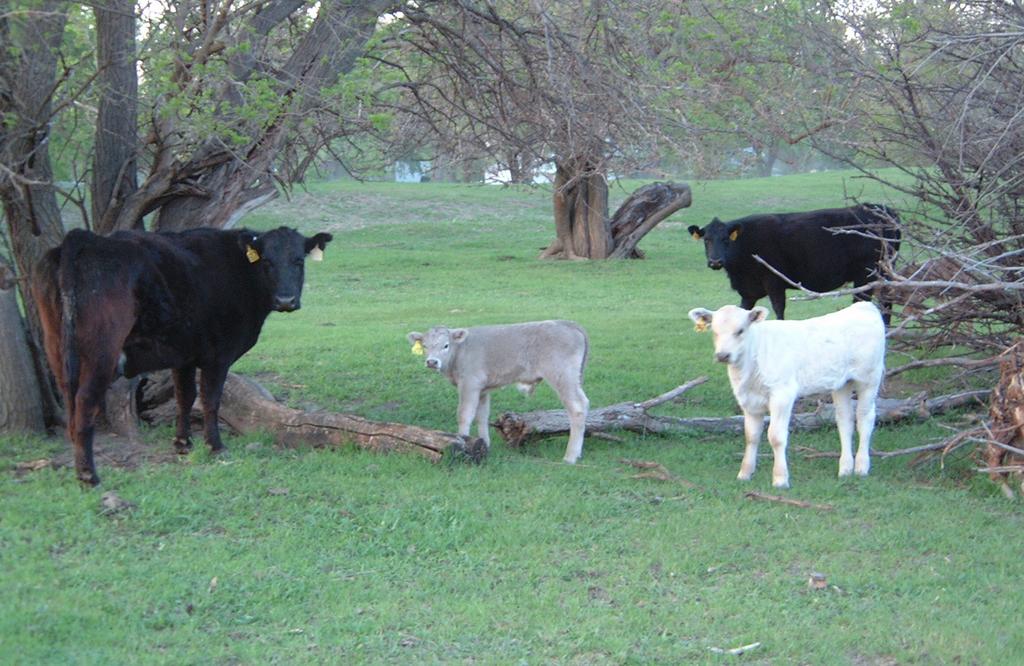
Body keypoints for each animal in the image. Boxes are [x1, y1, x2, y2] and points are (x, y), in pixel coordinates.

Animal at [32, 226, 332, 486]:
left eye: (298, 261)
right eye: (267, 262)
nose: (286, 300)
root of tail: (86, 238)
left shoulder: (184, 355)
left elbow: (184, 397)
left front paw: (183, 444)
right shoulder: (218, 355)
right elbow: (210, 399)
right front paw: (215, 446)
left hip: (57, 349)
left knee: (70, 400)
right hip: (101, 352)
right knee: (85, 402)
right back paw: (88, 475)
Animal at [406, 320, 590, 463]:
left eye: (446, 345)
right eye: (425, 346)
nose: (432, 362)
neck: (460, 352)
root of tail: (567, 324)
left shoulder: (469, 384)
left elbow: (464, 414)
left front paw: (463, 443)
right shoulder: (482, 389)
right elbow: (481, 416)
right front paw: (485, 445)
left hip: (562, 376)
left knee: (577, 408)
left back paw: (570, 457)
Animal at [687, 204, 901, 322]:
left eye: (726, 240)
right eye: (706, 240)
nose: (715, 261)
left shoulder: (774, 281)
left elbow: (778, 308)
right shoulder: (748, 291)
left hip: (867, 273)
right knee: (886, 299)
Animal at [687, 302, 885, 488]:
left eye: (740, 330)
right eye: (714, 331)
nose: (723, 355)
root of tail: (864, 306)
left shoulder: (782, 394)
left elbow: (776, 436)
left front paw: (780, 479)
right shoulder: (749, 401)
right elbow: (751, 436)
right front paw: (745, 474)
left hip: (869, 379)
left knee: (865, 419)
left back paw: (861, 467)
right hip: (842, 384)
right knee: (845, 420)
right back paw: (845, 468)